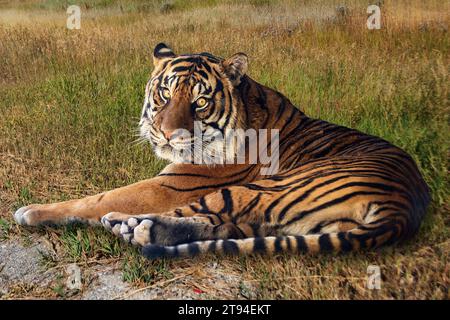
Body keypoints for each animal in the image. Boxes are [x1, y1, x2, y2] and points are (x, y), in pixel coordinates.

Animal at [12, 42, 430, 258]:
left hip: (268, 187)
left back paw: (129, 225)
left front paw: (31, 210)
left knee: (194, 216)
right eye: (165, 94)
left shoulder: (172, 185)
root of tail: (404, 205)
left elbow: (96, 198)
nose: (167, 135)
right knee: (227, 225)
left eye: (199, 103)